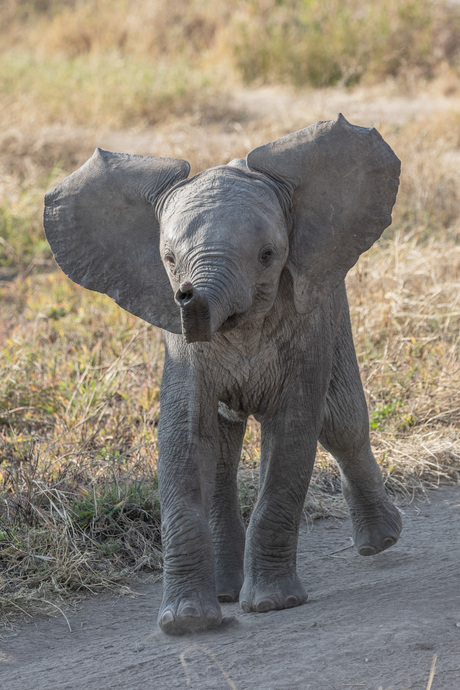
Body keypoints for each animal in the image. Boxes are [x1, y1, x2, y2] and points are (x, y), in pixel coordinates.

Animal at [45, 114, 400, 636]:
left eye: (269, 255)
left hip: (335, 304)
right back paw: (225, 592)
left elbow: (293, 431)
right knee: (222, 455)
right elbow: (186, 436)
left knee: (341, 423)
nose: (187, 294)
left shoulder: (308, 321)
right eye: (169, 260)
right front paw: (186, 623)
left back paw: (381, 542)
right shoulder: (179, 348)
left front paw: (273, 604)